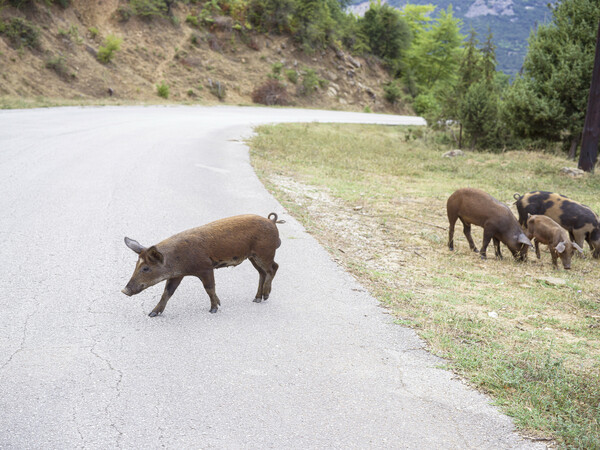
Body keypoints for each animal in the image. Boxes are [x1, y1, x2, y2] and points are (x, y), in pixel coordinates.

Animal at [123, 214, 282, 316]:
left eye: (146, 268)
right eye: (136, 264)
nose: (124, 291)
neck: (177, 259)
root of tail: (272, 222)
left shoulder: (206, 268)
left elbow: (209, 288)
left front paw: (213, 309)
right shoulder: (177, 275)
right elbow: (167, 292)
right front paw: (152, 313)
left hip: (265, 253)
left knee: (274, 267)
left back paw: (265, 296)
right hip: (252, 257)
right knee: (262, 272)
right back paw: (257, 299)